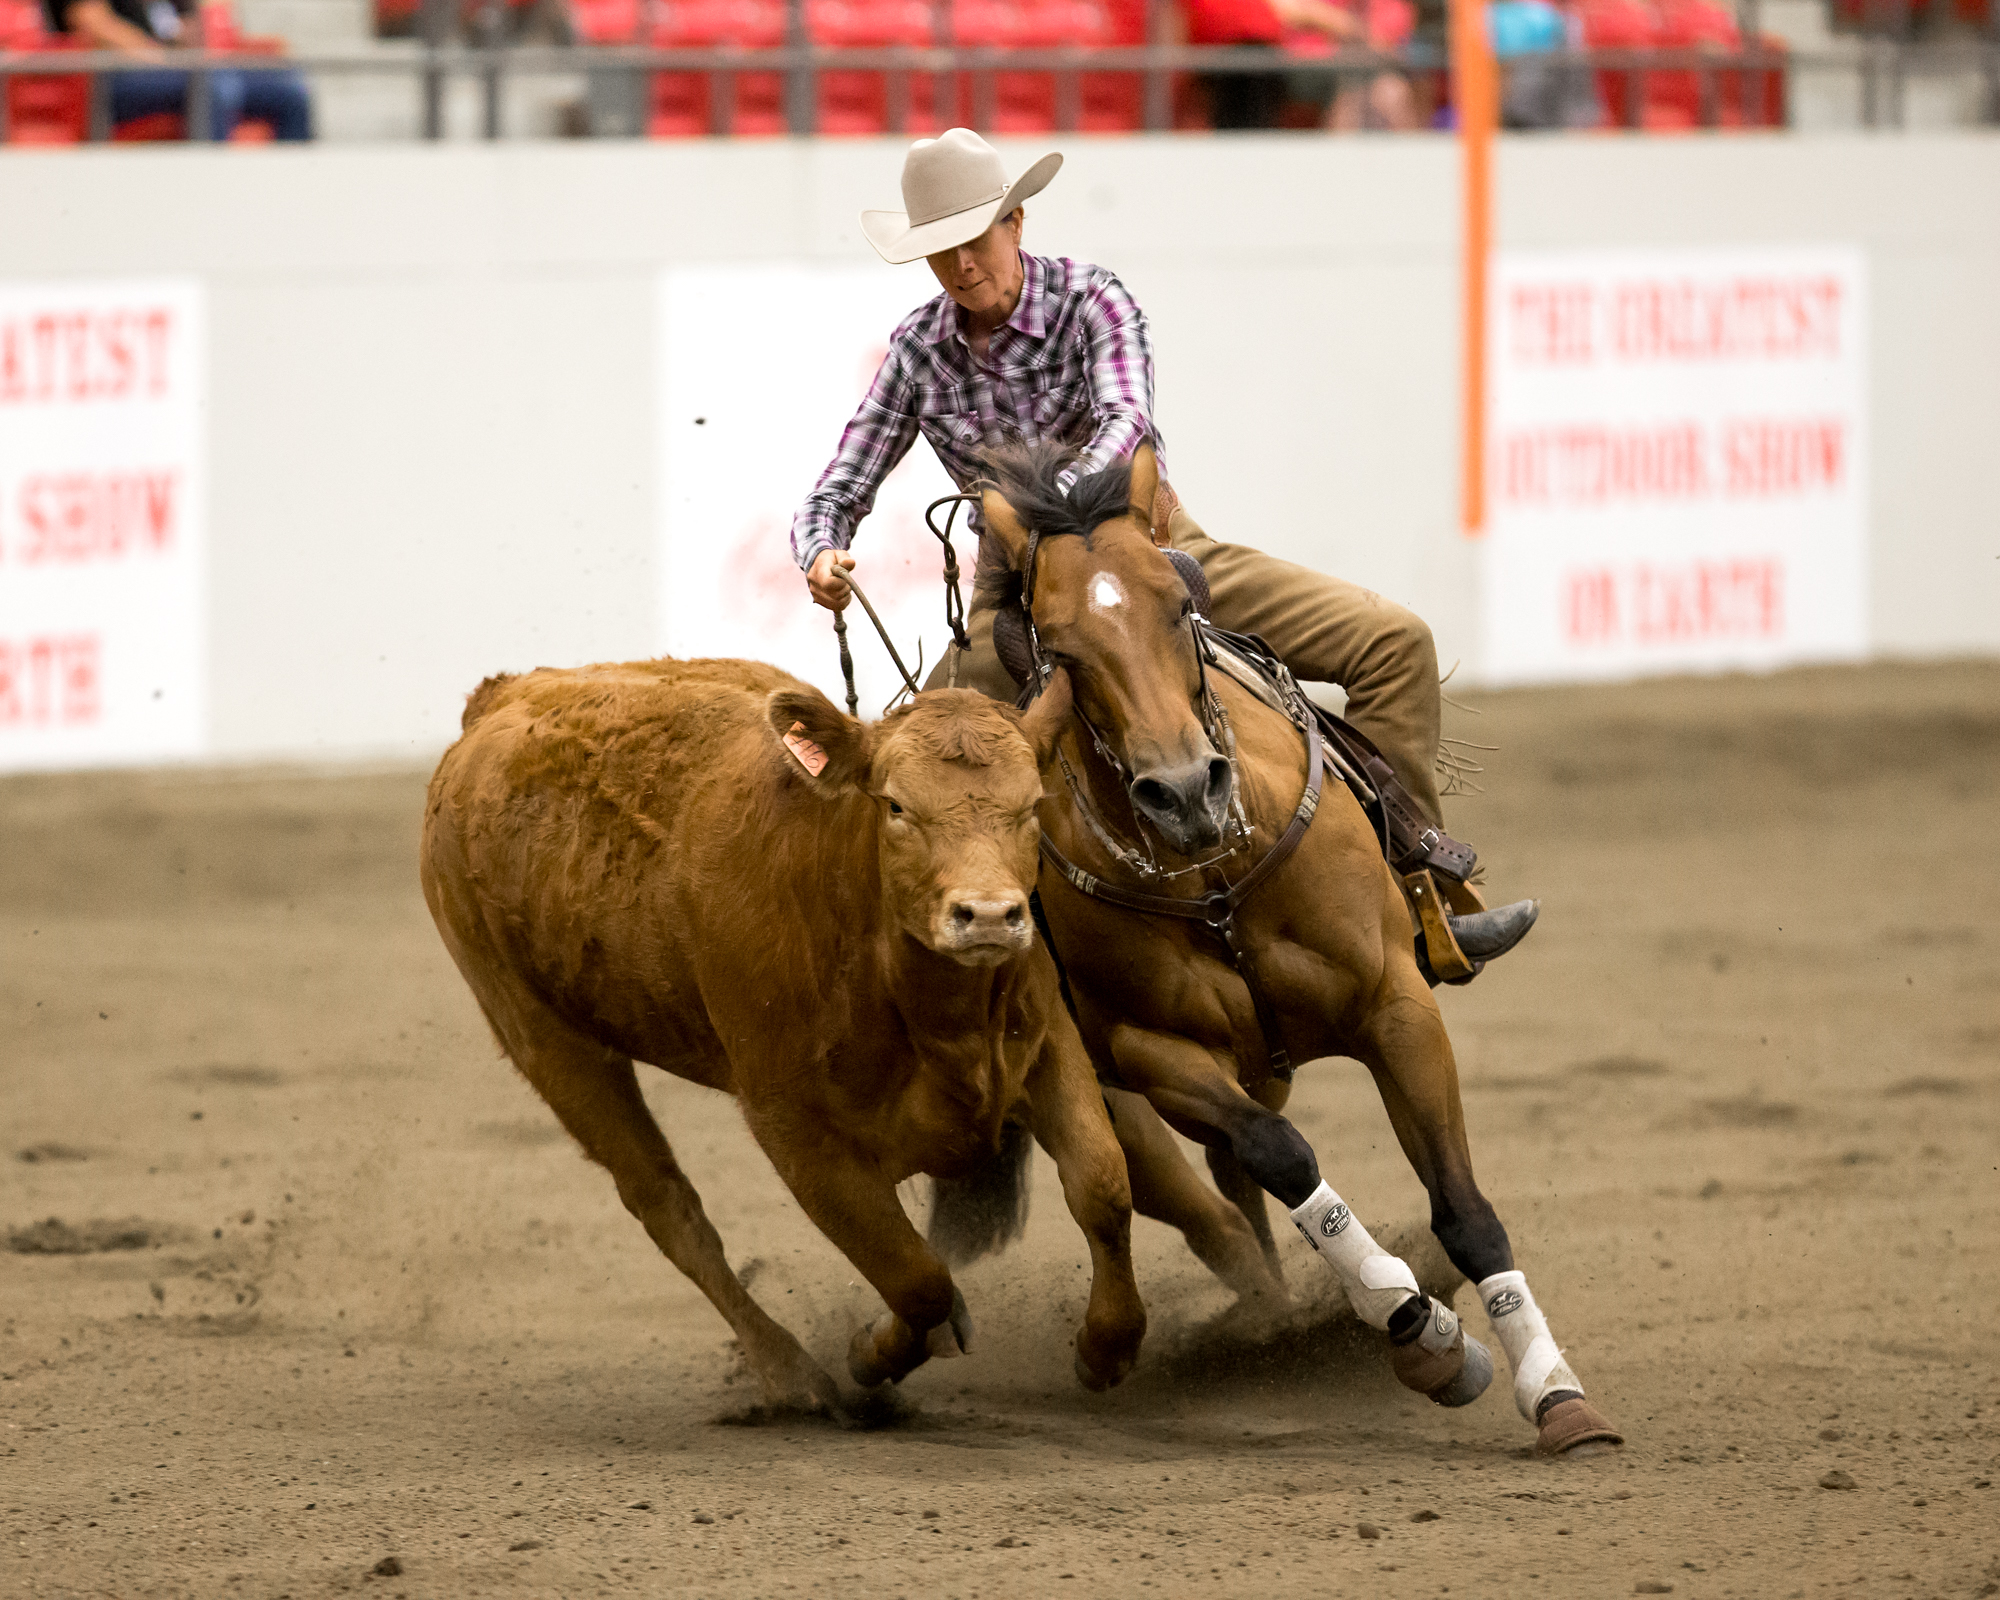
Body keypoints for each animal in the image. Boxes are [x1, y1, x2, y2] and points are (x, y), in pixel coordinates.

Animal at [419, 656, 1146, 1410]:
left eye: (1032, 806)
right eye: (896, 807)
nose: (991, 915)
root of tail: (505, 694)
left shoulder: (1047, 1040)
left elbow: (1102, 1184)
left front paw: (1106, 1348)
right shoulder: (790, 1124)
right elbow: (913, 1276)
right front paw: (870, 1355)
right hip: (545, 1039)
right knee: (668, 1208)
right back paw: (789, 1373)